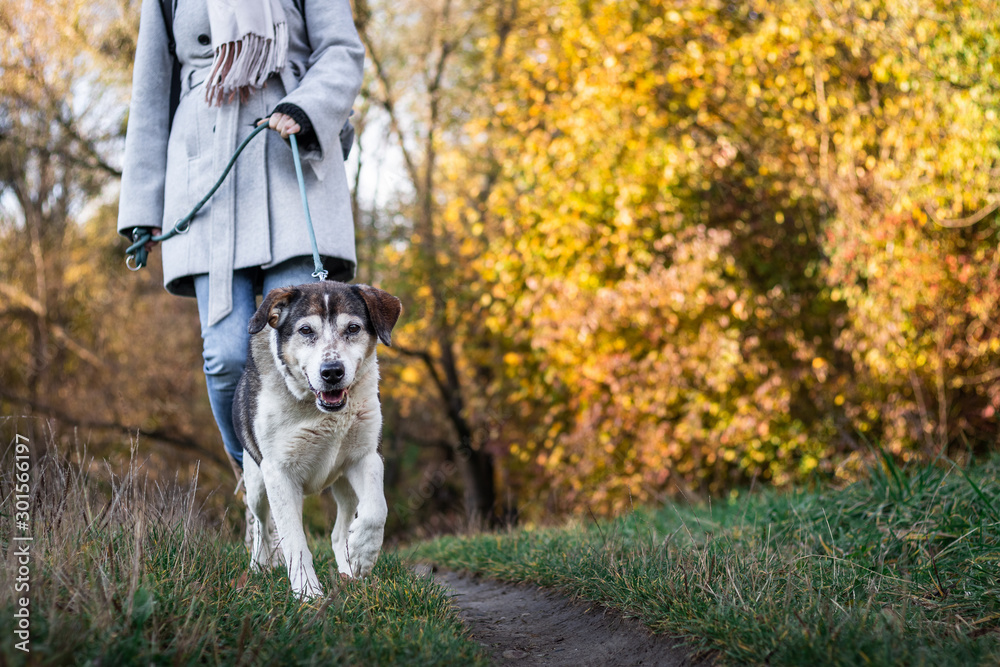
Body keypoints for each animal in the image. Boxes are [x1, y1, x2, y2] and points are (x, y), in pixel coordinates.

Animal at [234, 282, 402, 600]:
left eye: (353, 327)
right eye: (305, 330)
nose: (332, 371)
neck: (320, 412)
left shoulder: (365, 456)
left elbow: (377, 509)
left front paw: (363, 553)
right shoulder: (278, 473)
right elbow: (294, 540)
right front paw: (308, 592)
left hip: (344, 484)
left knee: (339, 531)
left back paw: (350, 570)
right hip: (256, 482)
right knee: (260, 523)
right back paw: (258, 566)